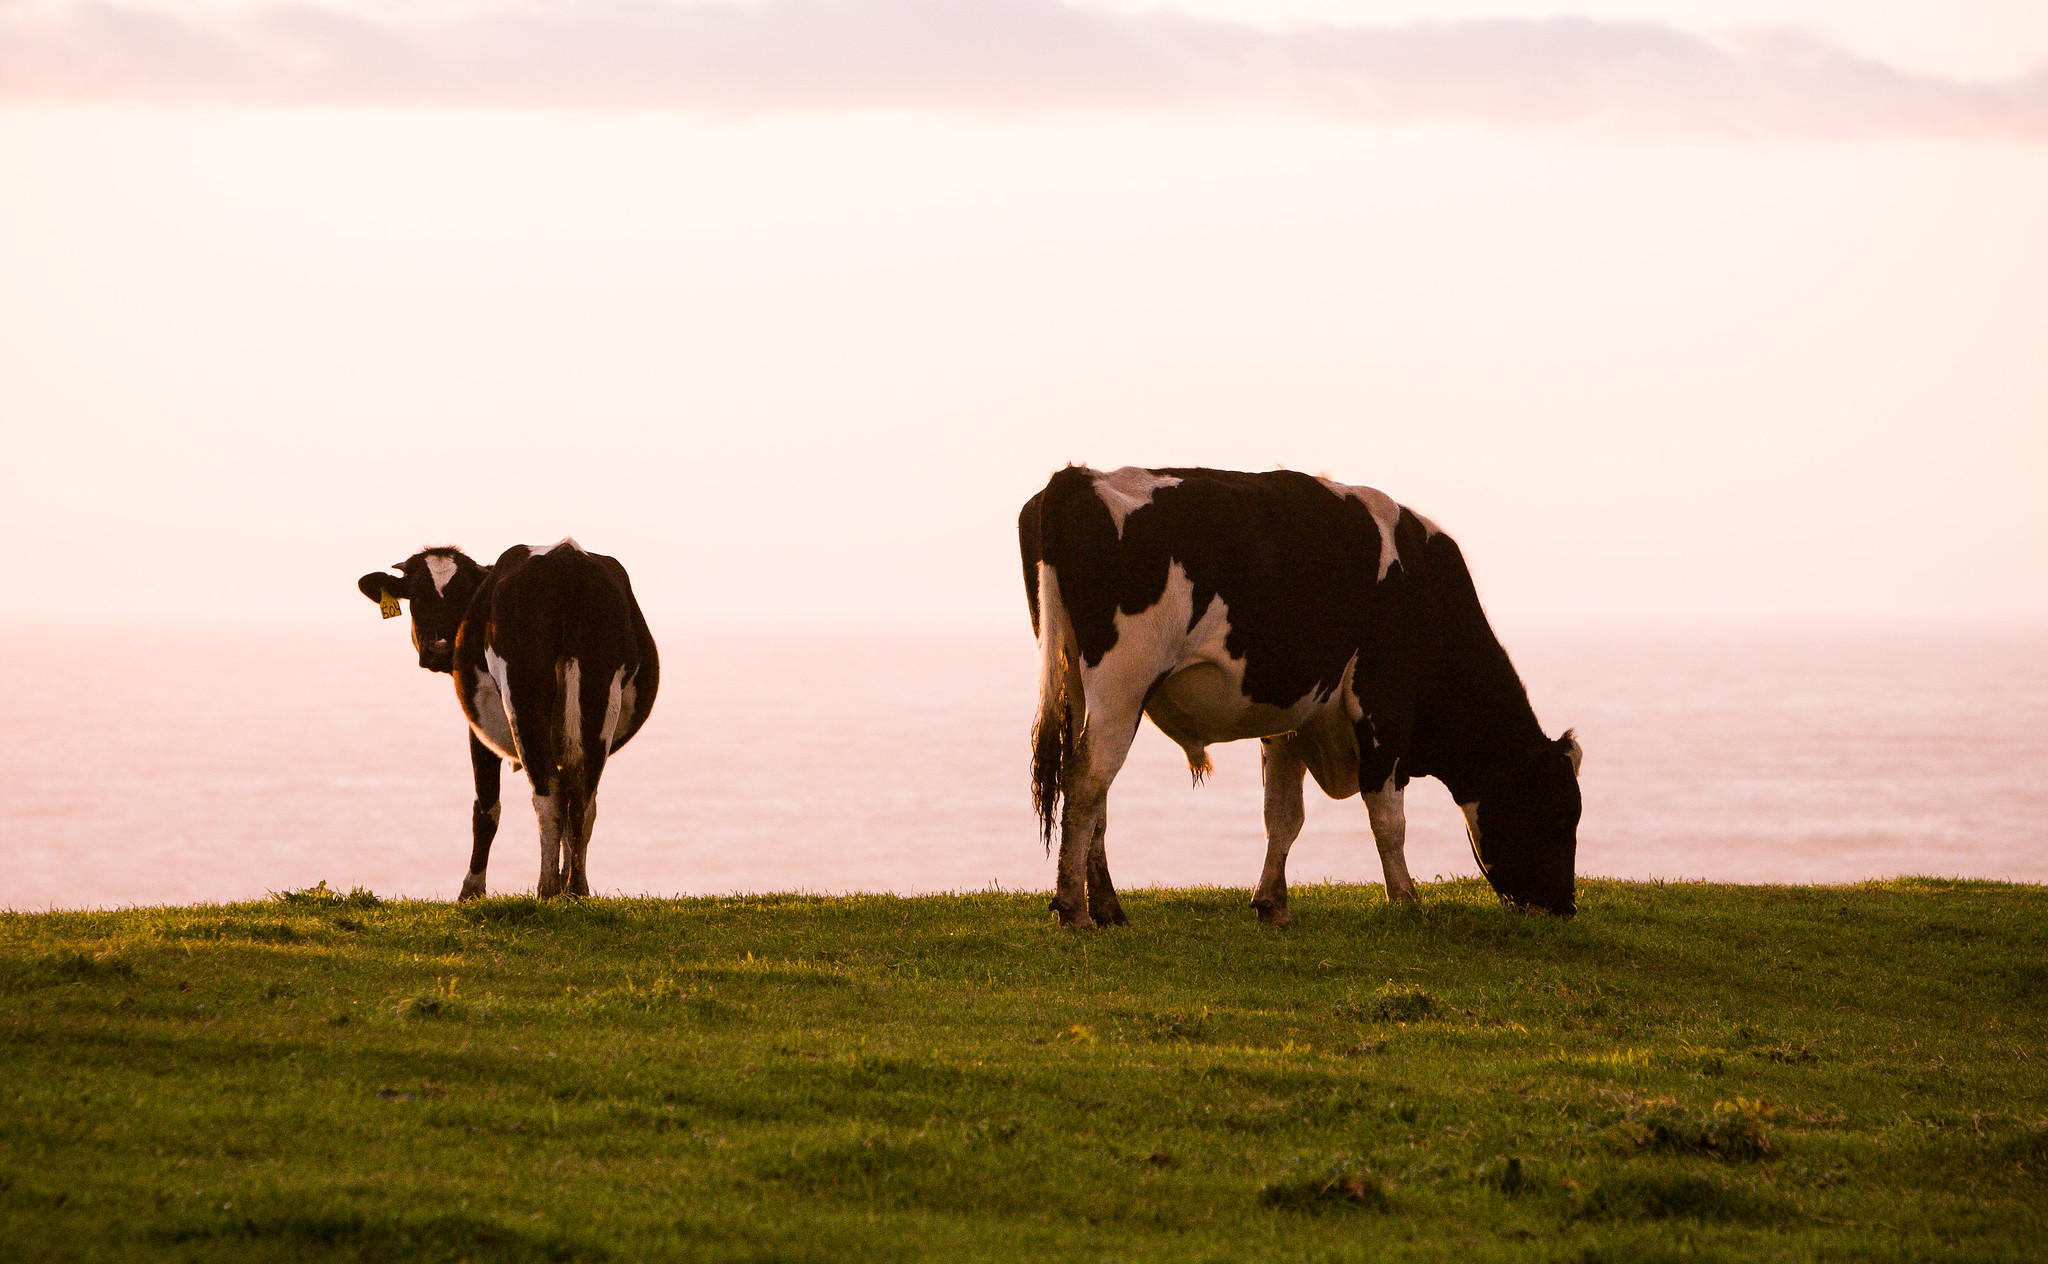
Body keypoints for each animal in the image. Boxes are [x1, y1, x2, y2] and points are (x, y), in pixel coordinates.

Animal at [356, 540, 659, 897]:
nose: (440, 650)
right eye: (415, 595)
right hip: (598, 693)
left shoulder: (478, 729)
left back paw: (547, 888)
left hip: (524, 695)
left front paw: (472, 890)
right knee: (583, 798)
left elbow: (486, 808)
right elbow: (569, 803)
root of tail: (566, 557)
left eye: (463, 594)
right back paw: (576, 889)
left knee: (546, 795)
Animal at [1024, 462, 1581, 925]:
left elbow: (1283, 815)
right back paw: (1074, 910)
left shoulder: (1292, 716)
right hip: (1123, 681)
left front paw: (1272, 904)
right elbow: (1388, 818)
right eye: (1559, 811)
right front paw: (1405, 900)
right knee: (1088, 780)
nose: (1567, 905)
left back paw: (1108, 908)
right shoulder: (1383, 708)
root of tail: (1081, 476)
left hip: (1076, 683)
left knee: (1092, 788)